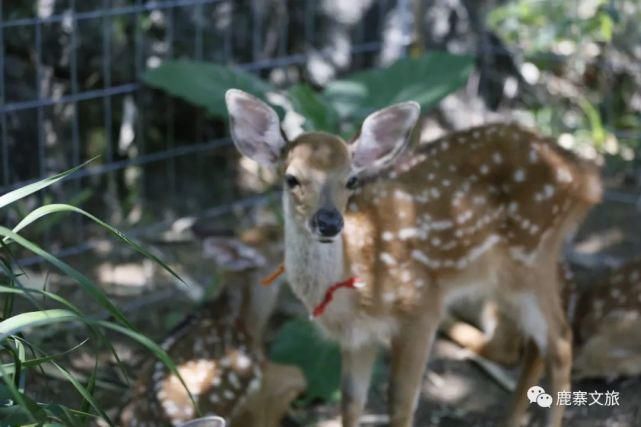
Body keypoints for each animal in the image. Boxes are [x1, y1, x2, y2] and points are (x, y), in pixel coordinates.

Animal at [224, 88, 600, 426]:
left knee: (560, 341)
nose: (329, 222)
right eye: (291, 178)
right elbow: (351, 403)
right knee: (536, 341)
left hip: (529, 259)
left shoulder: (421, 307)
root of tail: (586, 178)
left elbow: (401, 403)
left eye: (351, 180)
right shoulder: (357, 337)